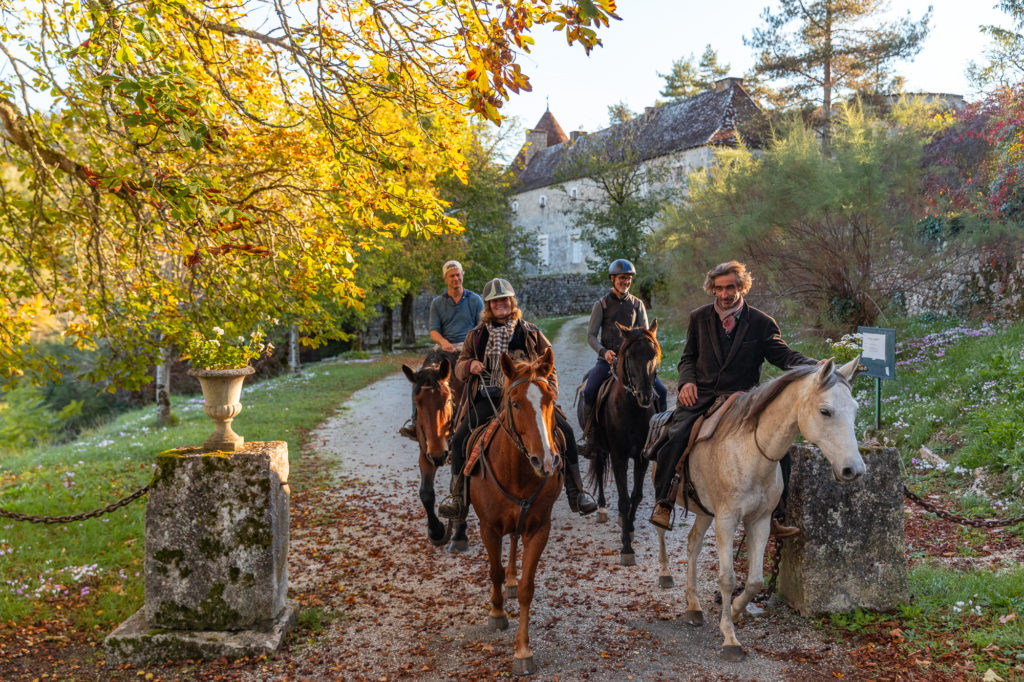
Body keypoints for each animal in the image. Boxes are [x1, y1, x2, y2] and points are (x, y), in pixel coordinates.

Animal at [399, 350, 464, 548]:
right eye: (418, 402)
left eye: (447, 399)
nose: (438, 455)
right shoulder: (425, 454)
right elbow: (426, 493)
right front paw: (436, 530)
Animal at [468, 350, 561, 675]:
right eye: (517, 403)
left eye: (550, 399)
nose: (545, 461)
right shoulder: (488, 528)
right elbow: (493, 571)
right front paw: (497, 613)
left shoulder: (539, 529)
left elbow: (526, 589)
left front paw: (522, 651)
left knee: (514, 541)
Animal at [581, 321, 659, 565]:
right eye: (631, 355)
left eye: (653, 354)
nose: (645, 396)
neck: (632, 410)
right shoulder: (618, 456)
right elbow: (624, 499)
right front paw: (626, 548)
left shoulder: (642, 457)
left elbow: (636, 496)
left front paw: (630, 526)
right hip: (599, 449)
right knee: (599, 470)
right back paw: (602, 509)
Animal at [655, 356, 864, 659]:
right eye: (825, 411)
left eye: (855, 411)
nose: (854, 470)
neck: (750, 452)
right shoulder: (727, 519)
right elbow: (728, 578)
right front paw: (730, 638)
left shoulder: (760, 521)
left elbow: (754, 581)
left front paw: (733, 611)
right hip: (663, 494)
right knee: (659, 528)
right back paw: (665, 574)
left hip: (705, 512)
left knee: (693, 543)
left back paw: (693, 606)